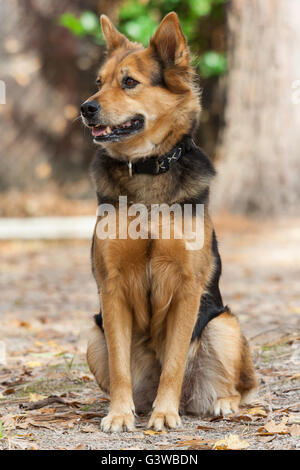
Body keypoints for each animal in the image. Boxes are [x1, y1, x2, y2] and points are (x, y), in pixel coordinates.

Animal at [81, 11, 256, 434]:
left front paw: (164, 413)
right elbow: (121, 366)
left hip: (223, 324)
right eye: (99, 82)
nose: (85, 108)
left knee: (239, 386)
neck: (147, 170)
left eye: (129, 82)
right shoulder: (111, 287)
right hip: (93, 333)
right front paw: (119, 414)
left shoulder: (187, 287)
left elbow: (175, 361)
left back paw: (221, 403)